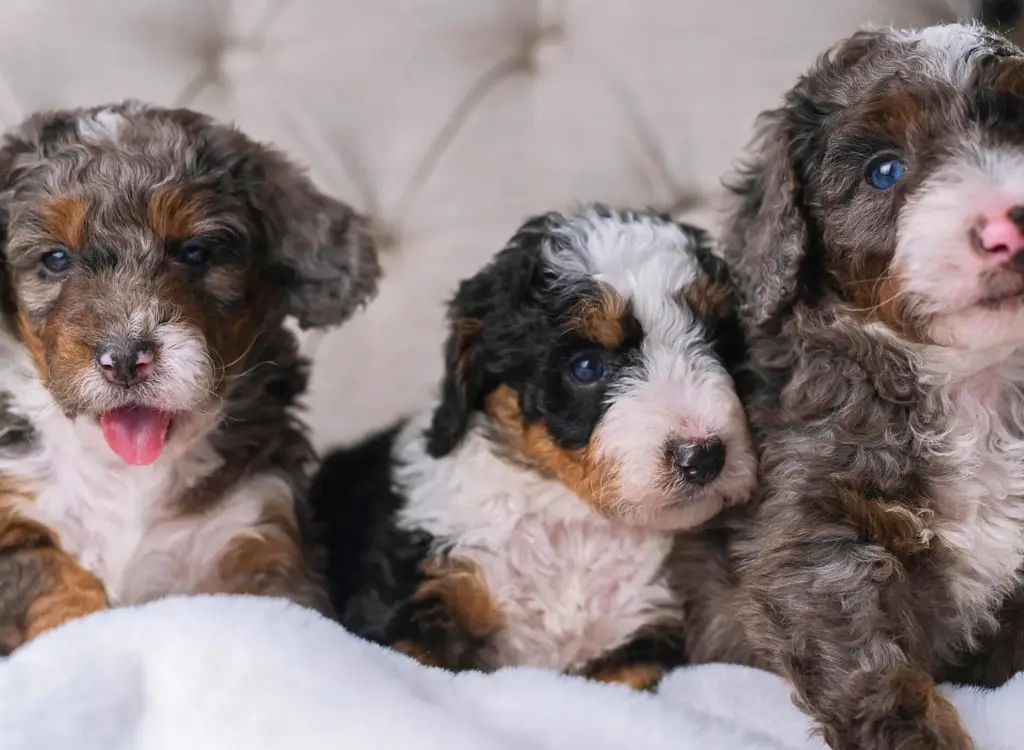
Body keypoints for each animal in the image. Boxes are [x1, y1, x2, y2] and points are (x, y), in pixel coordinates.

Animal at [0, 99, 380, 651]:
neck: (130, 474)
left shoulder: (264, 533)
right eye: (55, 258)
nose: (125, 357)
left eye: (196, 253)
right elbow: (53, 579)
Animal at [307, 206, 757, 692]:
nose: (703, 456)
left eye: (718, 345)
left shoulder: (638, 647)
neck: (575, 525)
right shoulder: (411, 607)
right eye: (587, 366)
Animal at [720, 20, 1024, 750]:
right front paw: (919, 735)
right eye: (883, 171)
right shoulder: (814, 534)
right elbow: (867, 664)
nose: (1009, 223)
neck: (973, 383)